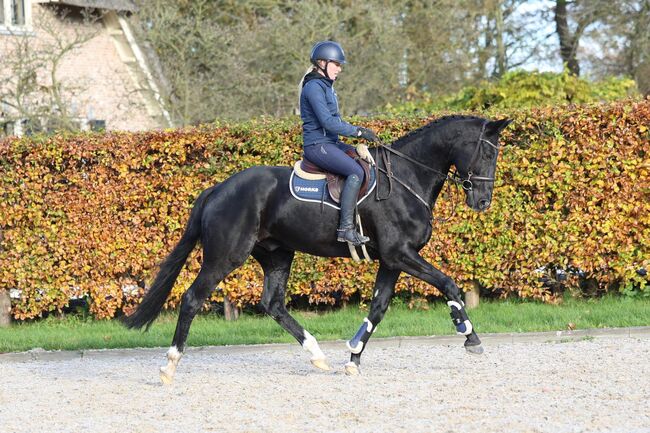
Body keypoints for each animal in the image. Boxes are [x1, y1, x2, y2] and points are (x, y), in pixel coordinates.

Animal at [125, 114, 512, 382]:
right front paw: (469, 335)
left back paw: (317, 354)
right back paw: (170, 365)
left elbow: (378, 308)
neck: (405, 179)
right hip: (226, 256)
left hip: (277, 254)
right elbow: (449, 284)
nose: (482, 201)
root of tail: (218, 189)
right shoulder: (401, 254)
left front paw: (353, 356)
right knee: (193, 298)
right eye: (485, 151)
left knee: (273, 303)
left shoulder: (392, 261)